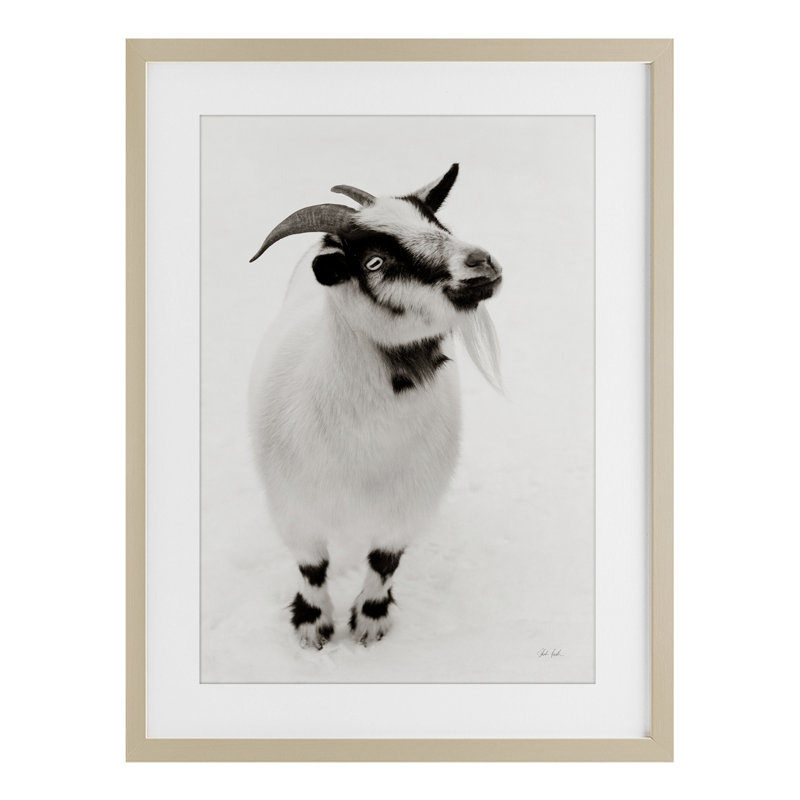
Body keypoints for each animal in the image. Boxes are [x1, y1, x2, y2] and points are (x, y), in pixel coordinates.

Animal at [248, 164, 502, 648]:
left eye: (439, 225)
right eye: (375, 262)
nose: (482, 263)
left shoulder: (409, 505)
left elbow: (384, 563)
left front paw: (369, 622)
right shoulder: (293, 507)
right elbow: (312, 568)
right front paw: (313, 626)